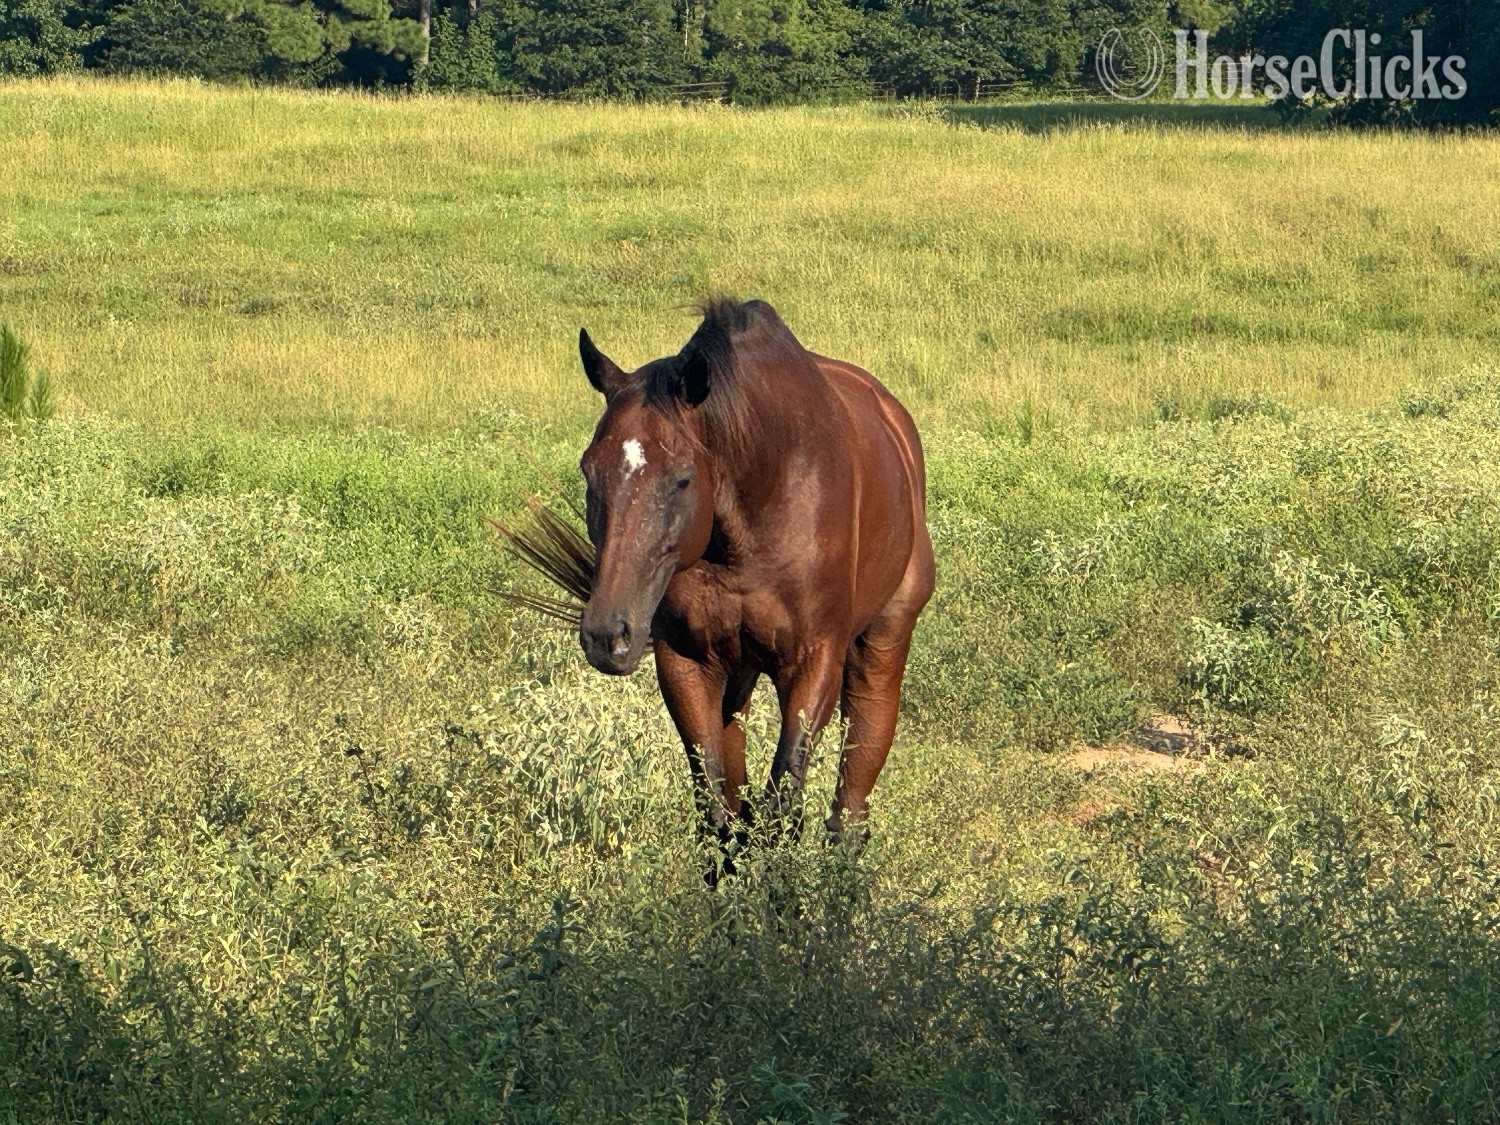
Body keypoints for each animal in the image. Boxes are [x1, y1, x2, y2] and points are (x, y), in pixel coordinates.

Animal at [575, 298, 933, 872]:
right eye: (590, 472)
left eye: (682, 478)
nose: (607, 635)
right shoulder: (688, 662)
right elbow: (718, 815)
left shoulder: (815, 661)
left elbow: (782, 809)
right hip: (738, 673)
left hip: (882, 640)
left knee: (855, 784)